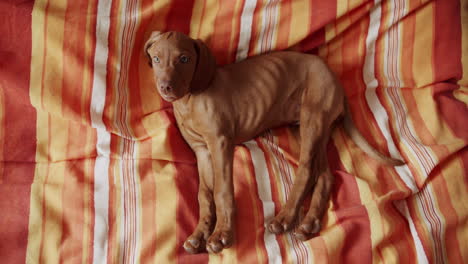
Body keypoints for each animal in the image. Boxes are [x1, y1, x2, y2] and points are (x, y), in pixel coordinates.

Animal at [144, 30, 402, 254]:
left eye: (184, 59)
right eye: (156, 59)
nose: (165, 87)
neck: (189, 100)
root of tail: (336, 81)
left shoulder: (220, 143)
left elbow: (221, 191)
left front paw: (221, 234)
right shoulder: (201, 151)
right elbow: (204, 195)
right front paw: (199, 233)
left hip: (313, 117)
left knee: (306, 170)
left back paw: (285, 218)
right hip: (307, 129)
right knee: (324, 175)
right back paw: (309, 224)